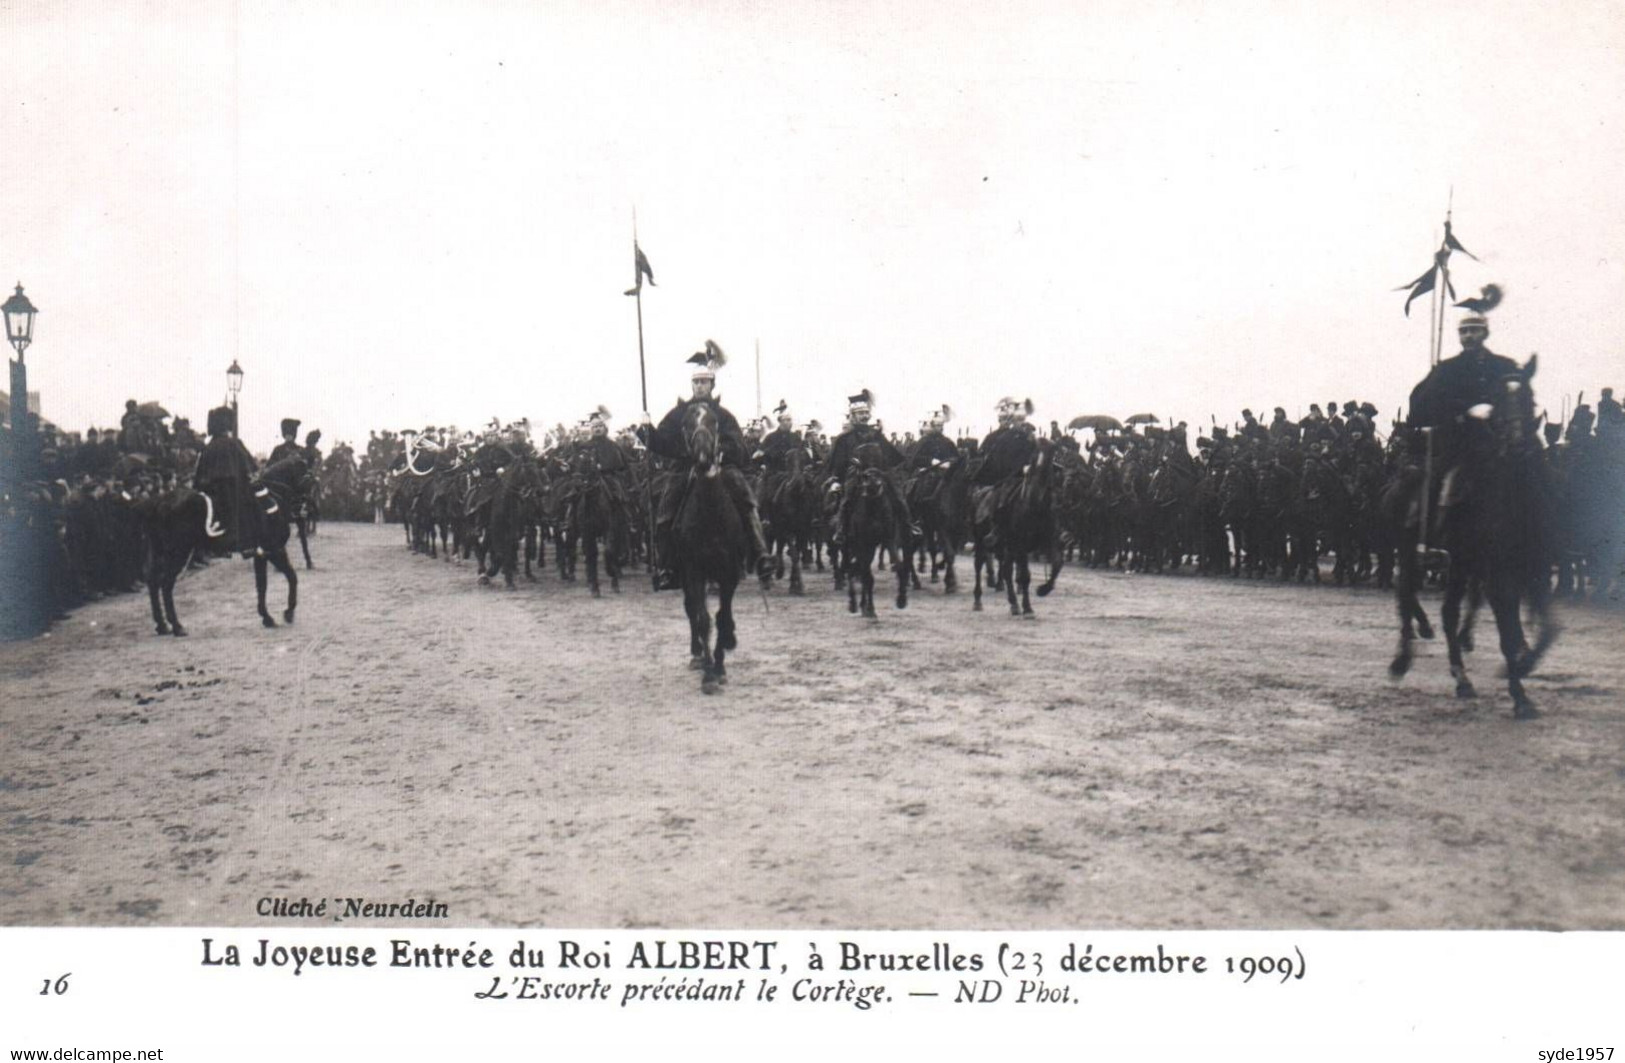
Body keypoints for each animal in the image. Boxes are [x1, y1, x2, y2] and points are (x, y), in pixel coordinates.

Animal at [136, 455, 310, 633]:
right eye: (309, 479)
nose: (303, 511)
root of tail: (158, 501)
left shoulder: (261, 553)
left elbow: (263, 585)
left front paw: (267, 617)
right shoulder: (274, 549)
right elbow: (291, 576)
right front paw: (288, 612)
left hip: (161, 552)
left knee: (153, 581)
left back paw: (162, 625)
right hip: (177, 553)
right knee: (166, 584)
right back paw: (177, 626)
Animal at [672, 404, 747, 695]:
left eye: (714, 421)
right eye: (686, 423)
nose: (703, 457)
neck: (711, 513)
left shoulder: (730, 572)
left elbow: (723, 617)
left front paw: (721, 666)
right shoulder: (694, 570)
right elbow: (703, 618)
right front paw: (708, 674)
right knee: (692, 609)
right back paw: (697, 655)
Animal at [1384, 360, 1560, 724]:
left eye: (1529, 397)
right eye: (1497, 398)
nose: (1517, 443)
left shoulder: (1534, 566)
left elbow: (1548, 628)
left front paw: (1523, 666)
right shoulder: (1495, 571)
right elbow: (1507, 632)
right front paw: (1519, 694)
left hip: (1461, 562)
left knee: (1448, 611)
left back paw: (1461, 675)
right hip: (1410, 550)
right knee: (1405, 593)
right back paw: (1404, 658)